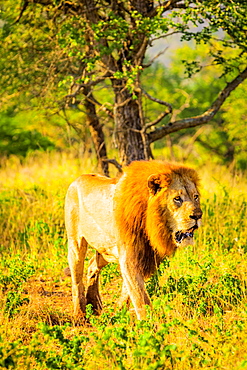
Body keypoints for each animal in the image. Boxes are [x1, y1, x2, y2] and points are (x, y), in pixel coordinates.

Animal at [64, 160, 202, 320]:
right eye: (177, 199)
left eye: (195, 197)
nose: (198, 215)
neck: (151, 223)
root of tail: (78, 179)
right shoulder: (129, 256)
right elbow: (140, 297)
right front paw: (150, 324)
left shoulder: (147, 256)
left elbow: (129, 290)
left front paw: (119, 312)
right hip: (76, 243)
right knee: (77, 278)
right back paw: (79, 313)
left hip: (107, 250)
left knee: (93, 264)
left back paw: (94, 304)